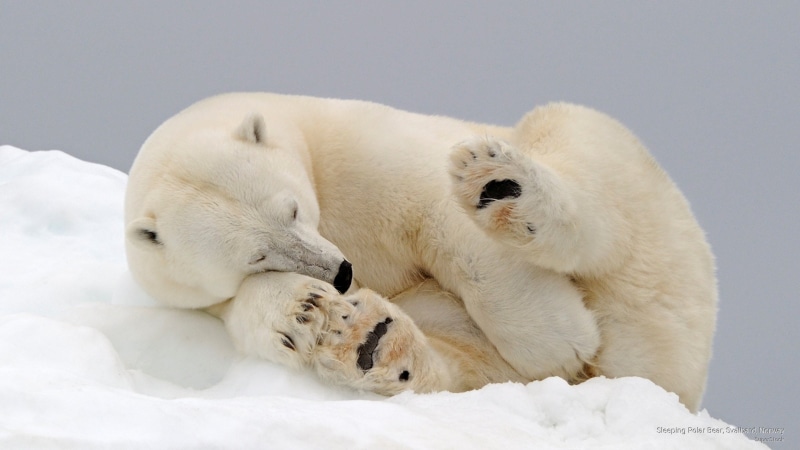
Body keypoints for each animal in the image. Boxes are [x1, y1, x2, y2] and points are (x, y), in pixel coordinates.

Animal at [125, 92, 717, 412]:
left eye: (290, 209)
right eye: (257, 256)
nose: (343, 273)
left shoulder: (360, 151)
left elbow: (442, 216)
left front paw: (559, 340)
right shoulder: (198, 298)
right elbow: (250, 314)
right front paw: (307, 311)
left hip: (651, 219)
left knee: (582, 157)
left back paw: (502, 185)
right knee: (462, 360)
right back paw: (371, 341)